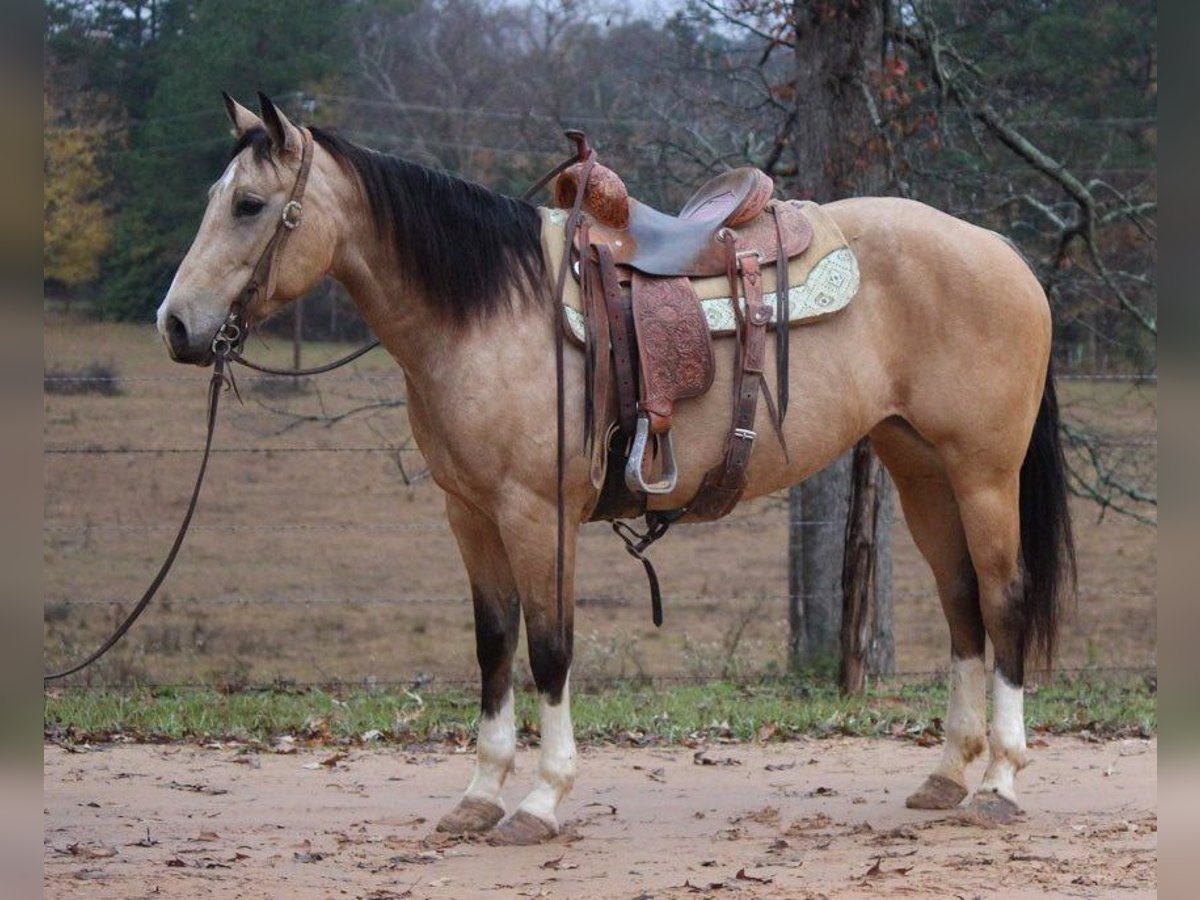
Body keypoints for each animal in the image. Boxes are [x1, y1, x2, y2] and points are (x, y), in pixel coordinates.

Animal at [154, 95, 1075, 844]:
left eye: (248, 204)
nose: (176, 326)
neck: (492, 314)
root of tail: (1001, 251)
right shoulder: (470, 515)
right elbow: (494, 645)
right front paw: (479, 795)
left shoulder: (536, 514)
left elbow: (551, 647)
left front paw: (540, 800)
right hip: (921, 471)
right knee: (962, 607)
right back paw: (947, 775)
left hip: (983, 474)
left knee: (1003, 600)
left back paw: (999, 781)